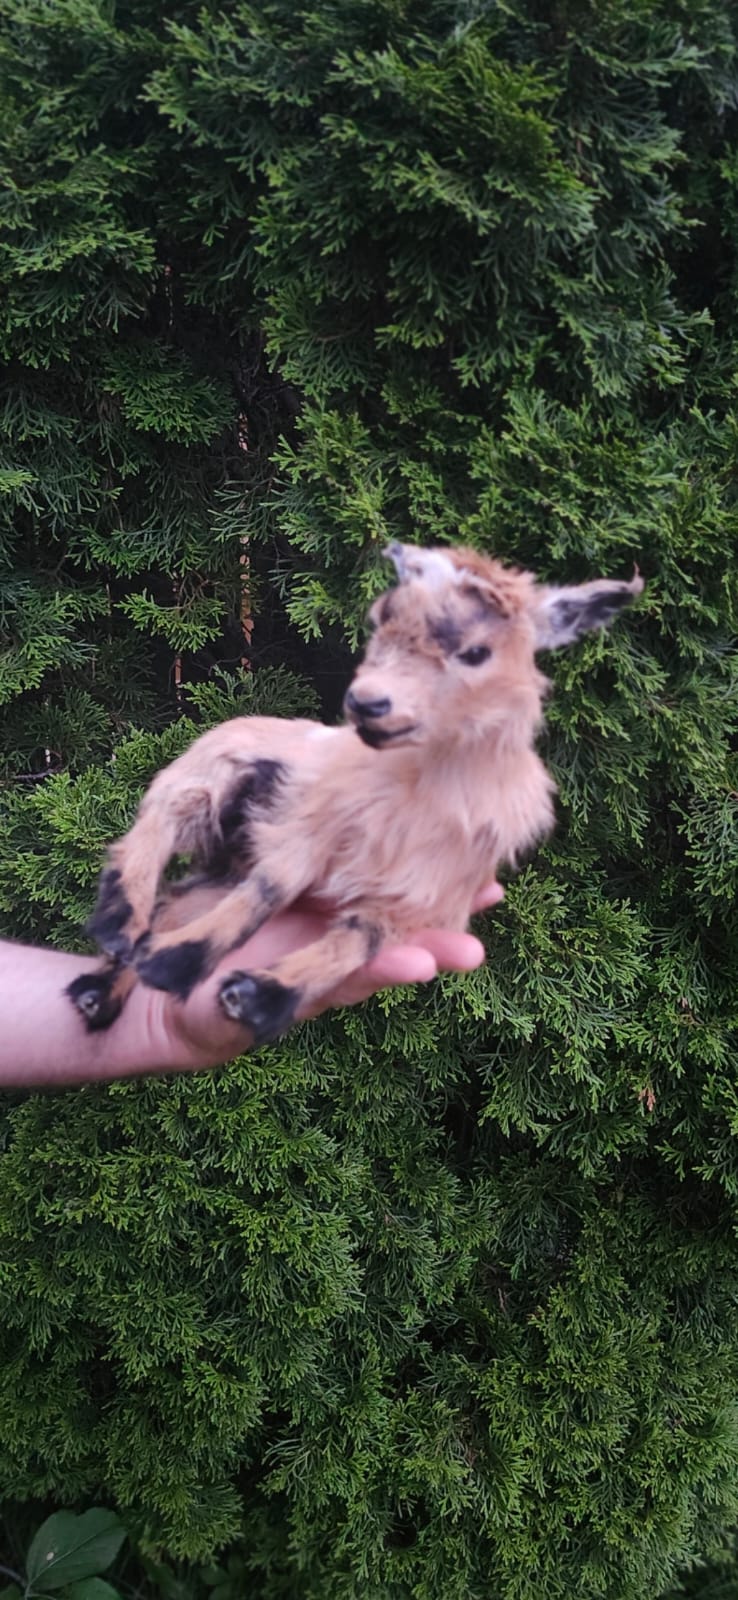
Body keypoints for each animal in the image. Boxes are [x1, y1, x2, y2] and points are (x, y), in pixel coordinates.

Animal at [67, 543, 643, 1044]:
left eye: (477, 652)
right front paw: (178, 962)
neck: (423, 786)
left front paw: (256, 995)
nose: (366, 703)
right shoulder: (309, 827)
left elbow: (356, 942)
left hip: (218, 860)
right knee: (154, 827)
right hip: (207, 774)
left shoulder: (422, 896)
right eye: (379, 620)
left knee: (172, 901)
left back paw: (103, 990)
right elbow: (269, 890)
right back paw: (120, 921)